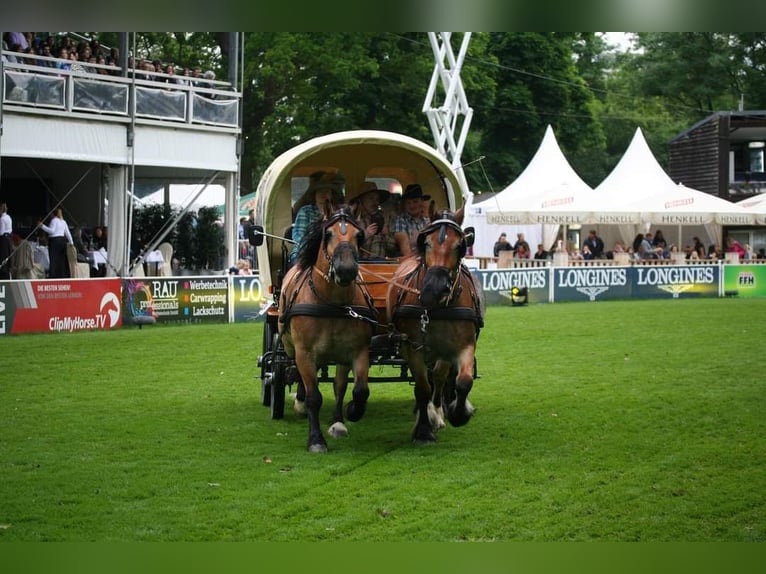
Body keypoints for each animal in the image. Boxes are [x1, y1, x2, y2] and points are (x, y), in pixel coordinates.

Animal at [280, 207, 380, 454]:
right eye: (328, 234)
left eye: (359, 235)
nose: (346, 270)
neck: (332, 303)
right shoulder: (305, 352)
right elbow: (314, 397)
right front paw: (316, 439)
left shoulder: (357, 351)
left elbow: (358, 390)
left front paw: (351, 412)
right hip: (290, 347)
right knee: (297, 373)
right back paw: (299, 401)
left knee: (339, 384)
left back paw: (337, 420)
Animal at [384, 208, 486, 446]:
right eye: (427, 243)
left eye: (459, 245)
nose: (434, 289)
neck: (436, 308)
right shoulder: (412, 347)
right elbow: (422, 388)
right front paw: (423, 430)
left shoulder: (462, 346)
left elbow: (462, 381)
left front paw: (457, 414)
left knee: (439, 378)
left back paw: (438, 412)